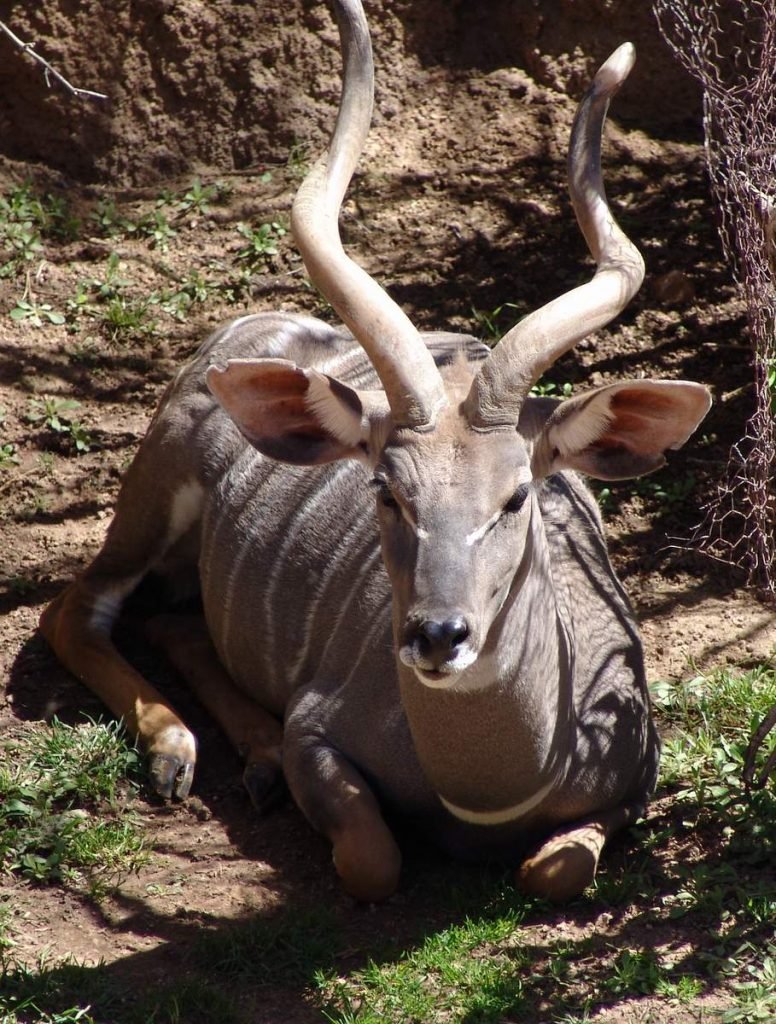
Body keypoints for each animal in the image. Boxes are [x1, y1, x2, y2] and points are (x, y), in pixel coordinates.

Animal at [40, 0, 712, 901]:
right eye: (386, 491)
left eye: (517, 495)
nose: (437, 635)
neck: (487, 790)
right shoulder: (319, 730)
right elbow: (372, 859)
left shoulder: (636, 778)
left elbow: (557, 867)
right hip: (151, 497)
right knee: (76, 609)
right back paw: (176, 750)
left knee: (171, 621)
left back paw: (250, 762)